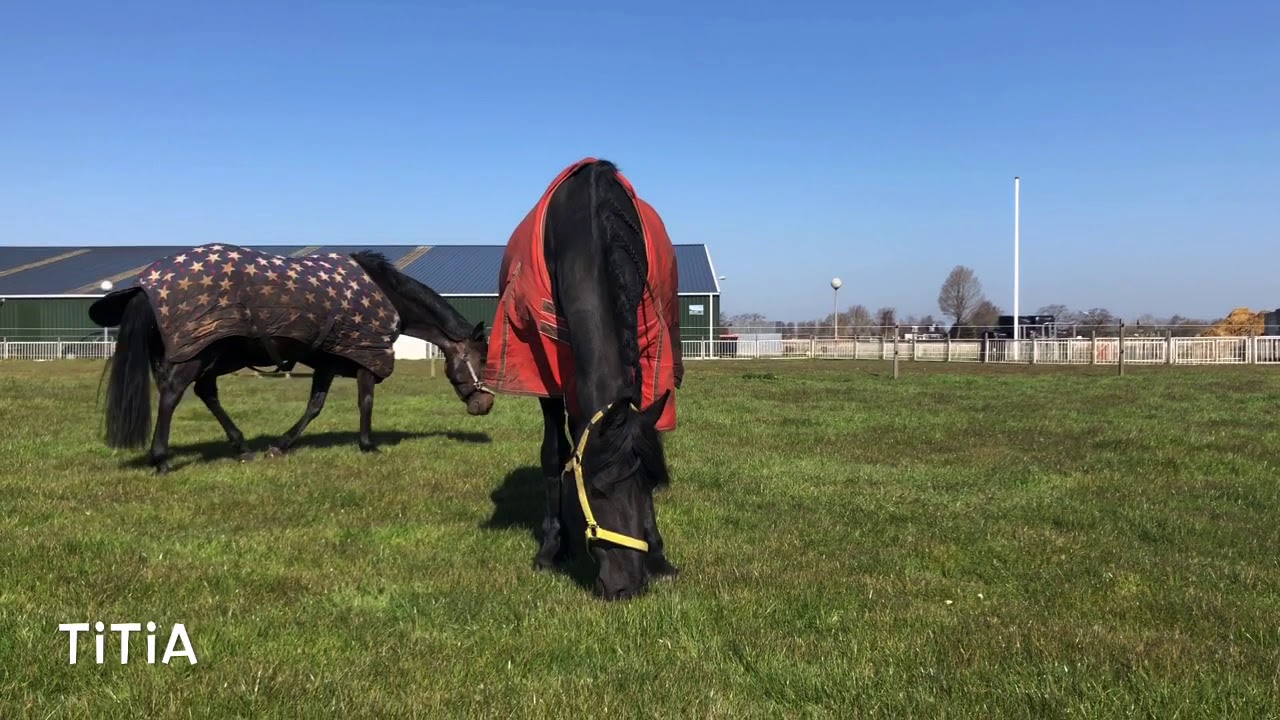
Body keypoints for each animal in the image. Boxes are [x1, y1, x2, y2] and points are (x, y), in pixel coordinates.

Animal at [88, 245, 494, 473]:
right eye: (482, 359)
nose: (485, 405)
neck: (387, 296)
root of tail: (146, 285)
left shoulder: (328, 363)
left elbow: (314, 406)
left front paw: (280, 446)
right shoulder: (366, 357)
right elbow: (365, 402)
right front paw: (368, 445)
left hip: (214, 355)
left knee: (205, 392)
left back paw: (242, 446)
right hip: (199, 353)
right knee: (173, 393)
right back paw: (161, 458)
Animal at [483, 158, 685, 601]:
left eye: (651, 486)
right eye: (597, 489)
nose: (628, 587)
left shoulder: (647, 345)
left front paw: (659, 556)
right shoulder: (544, 365)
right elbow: (555, 452)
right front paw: (551, 548)